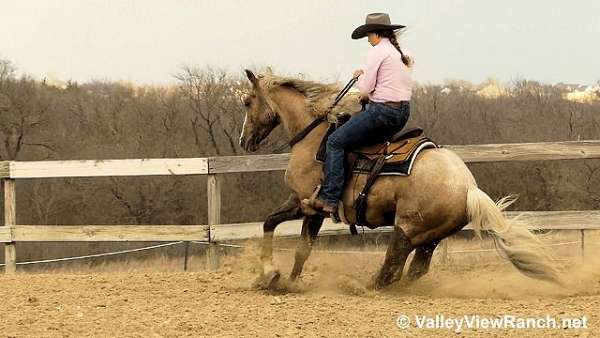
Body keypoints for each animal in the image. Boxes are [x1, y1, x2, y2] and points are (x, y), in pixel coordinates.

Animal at [237, 69, 560, 290]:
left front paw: (277, 278)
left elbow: (300, 247)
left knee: (391, 267)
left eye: (248, 101)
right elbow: (272, 225)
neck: (314, 137)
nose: (244, 141)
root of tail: (469, 188)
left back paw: (360, 287)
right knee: (414, 270)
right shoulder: (298, 202)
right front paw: (275, 278)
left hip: (405, 229)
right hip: (430, 237)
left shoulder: (311, 206)